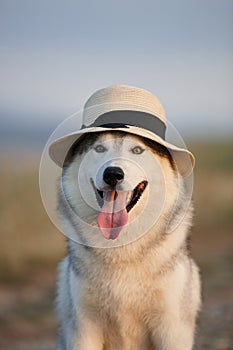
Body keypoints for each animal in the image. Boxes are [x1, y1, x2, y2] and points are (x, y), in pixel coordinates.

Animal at [54, 130, 200, 348]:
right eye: (99, 148)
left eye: (137, 150)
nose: (112, 174)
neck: (120, 244)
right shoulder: (83, 328)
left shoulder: (172, 329)